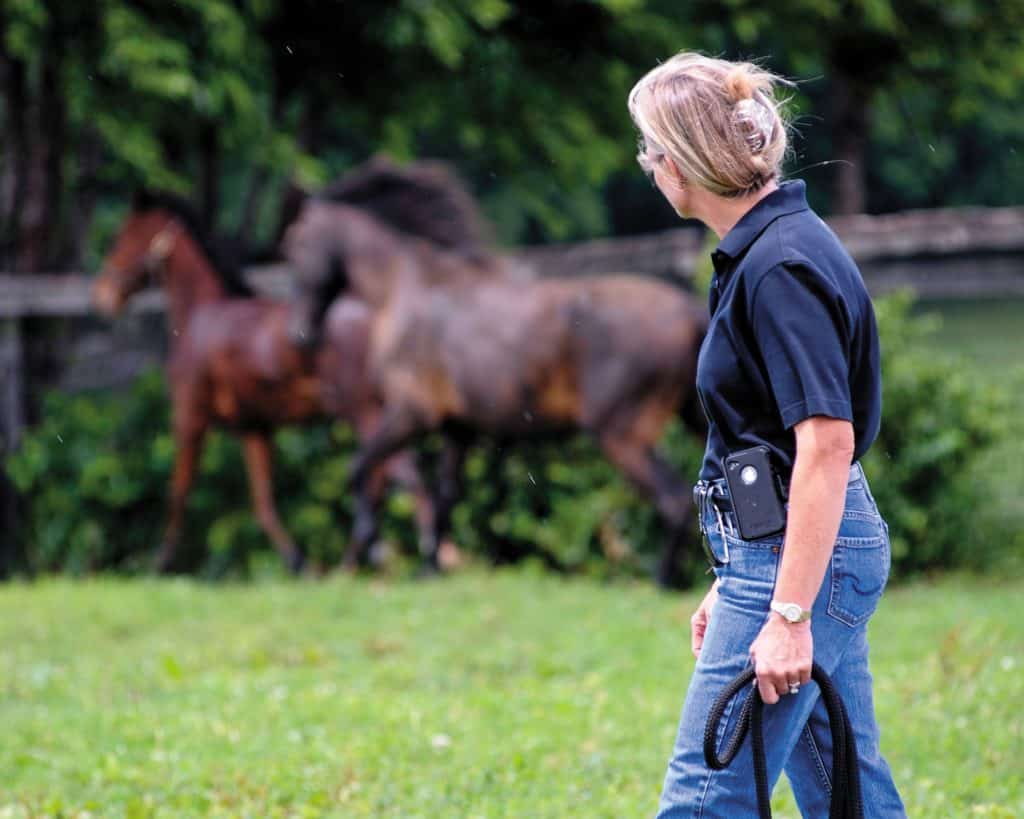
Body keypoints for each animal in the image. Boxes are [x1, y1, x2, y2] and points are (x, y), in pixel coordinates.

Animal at [92, 190, 438, 574]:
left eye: (120, 238)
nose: (102, 295)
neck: (202, 316)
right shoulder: (254, 427)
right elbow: (263, 503)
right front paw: (299, 562)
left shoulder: (190, 419)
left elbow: (178, 492)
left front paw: (160, 564)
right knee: (383, 476)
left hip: (362, 412)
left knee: (399, 473)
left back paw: (419, 559)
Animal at [285, 159, 708, 587]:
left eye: (296, 246)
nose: (300, 334)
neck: (410, 289)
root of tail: (690, 311)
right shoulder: (458, 429)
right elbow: (444, 497)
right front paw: (429, 569)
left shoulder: (413, 412)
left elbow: (359, 467)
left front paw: (370, 543)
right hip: (692, 419)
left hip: (623, 435)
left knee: (674, 502)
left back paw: (662, 581)